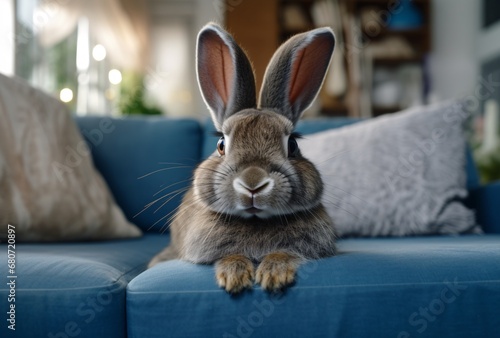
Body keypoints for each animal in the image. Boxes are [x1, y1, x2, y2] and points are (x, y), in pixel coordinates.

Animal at [147, 22, 336, 294]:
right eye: (221, 145)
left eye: (293, 145)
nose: (253, 183)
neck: (256, 221)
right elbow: (229, 256)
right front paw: (234, 277)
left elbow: (286, 253)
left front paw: (274, 275)